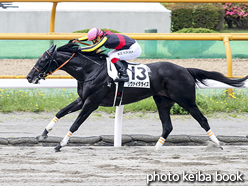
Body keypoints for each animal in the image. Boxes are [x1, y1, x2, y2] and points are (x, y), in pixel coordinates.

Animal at [27, 44, 248, 153]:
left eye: (43, 59)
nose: (29, 77)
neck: (90, 70)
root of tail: (185, 69)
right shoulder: (82, 100)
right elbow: (60, 112)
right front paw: (43, 134)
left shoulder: (92, 103)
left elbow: (75, 124)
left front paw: (60, 145)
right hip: (162, 101)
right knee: (167, 126)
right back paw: (155, 148)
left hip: (186, 100)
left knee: (202, 119)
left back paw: (218, 144)